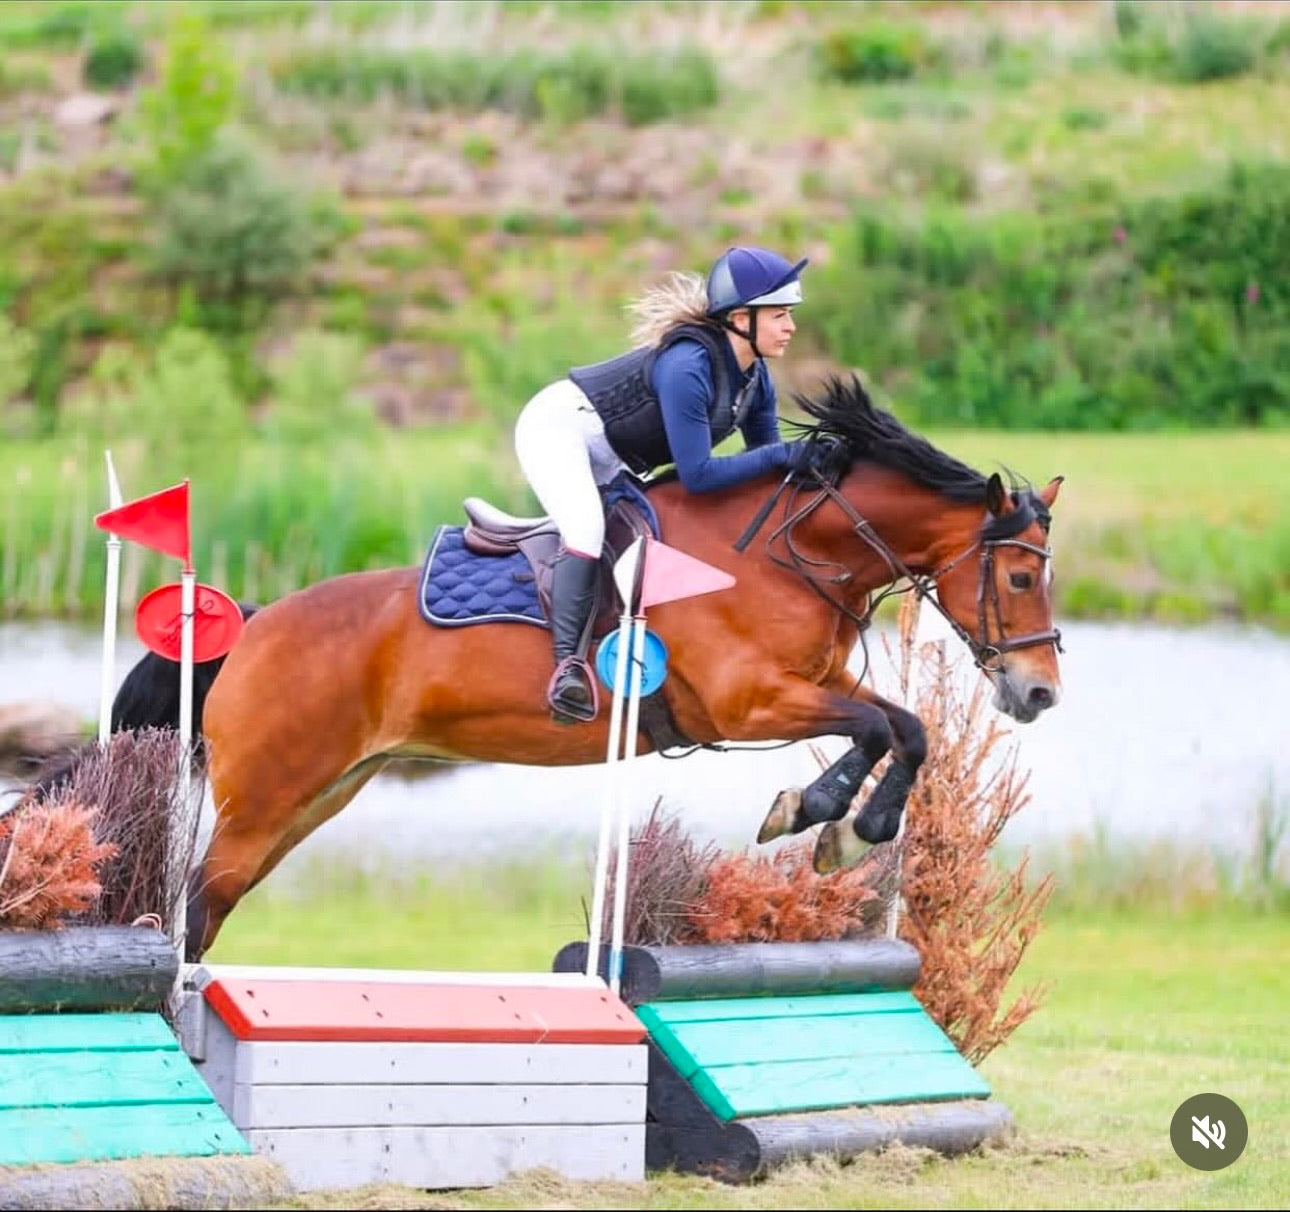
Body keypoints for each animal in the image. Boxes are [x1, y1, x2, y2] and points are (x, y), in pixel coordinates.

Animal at [65, 376, 1065, 960]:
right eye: (1020, 576)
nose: (1040, 692)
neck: (786, 554)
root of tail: (256, 623)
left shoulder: (809, 685)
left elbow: (903, 725)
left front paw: (839, 828)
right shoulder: (747, 704)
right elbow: (874, 727)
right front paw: (821, 814)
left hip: (318, 794)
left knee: (214, 899)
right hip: (269, 795)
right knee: (199, 901)